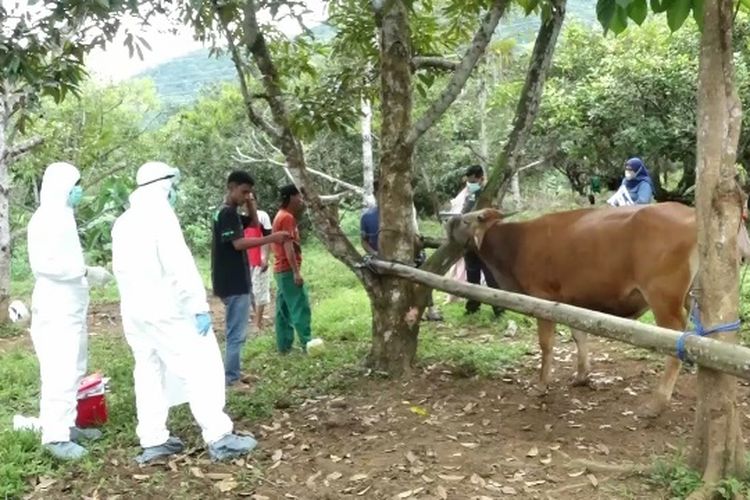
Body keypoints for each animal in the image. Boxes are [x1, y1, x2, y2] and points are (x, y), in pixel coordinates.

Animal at [450, 201, 748, 416]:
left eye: (467, 219)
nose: (449, 220)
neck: (516, 243)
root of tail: (692, 215)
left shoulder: (543, 298)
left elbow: (546, 345)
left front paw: (542, 384)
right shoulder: (571, 301)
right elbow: (578, 335)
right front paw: (582, 375)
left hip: (664, 299)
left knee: (675, 344)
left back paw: (657, 403)